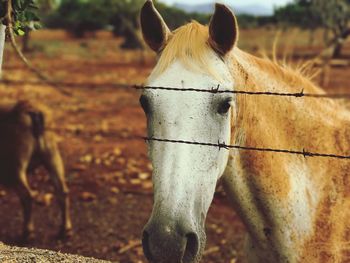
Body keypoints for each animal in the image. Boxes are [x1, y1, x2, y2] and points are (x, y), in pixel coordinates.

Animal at [0, 100, 72, 240]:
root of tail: (34, 113)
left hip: (17, 165)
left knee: (27, 196)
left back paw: (28, 233)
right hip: (52, 156)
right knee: (62, 191)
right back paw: (65, 231)